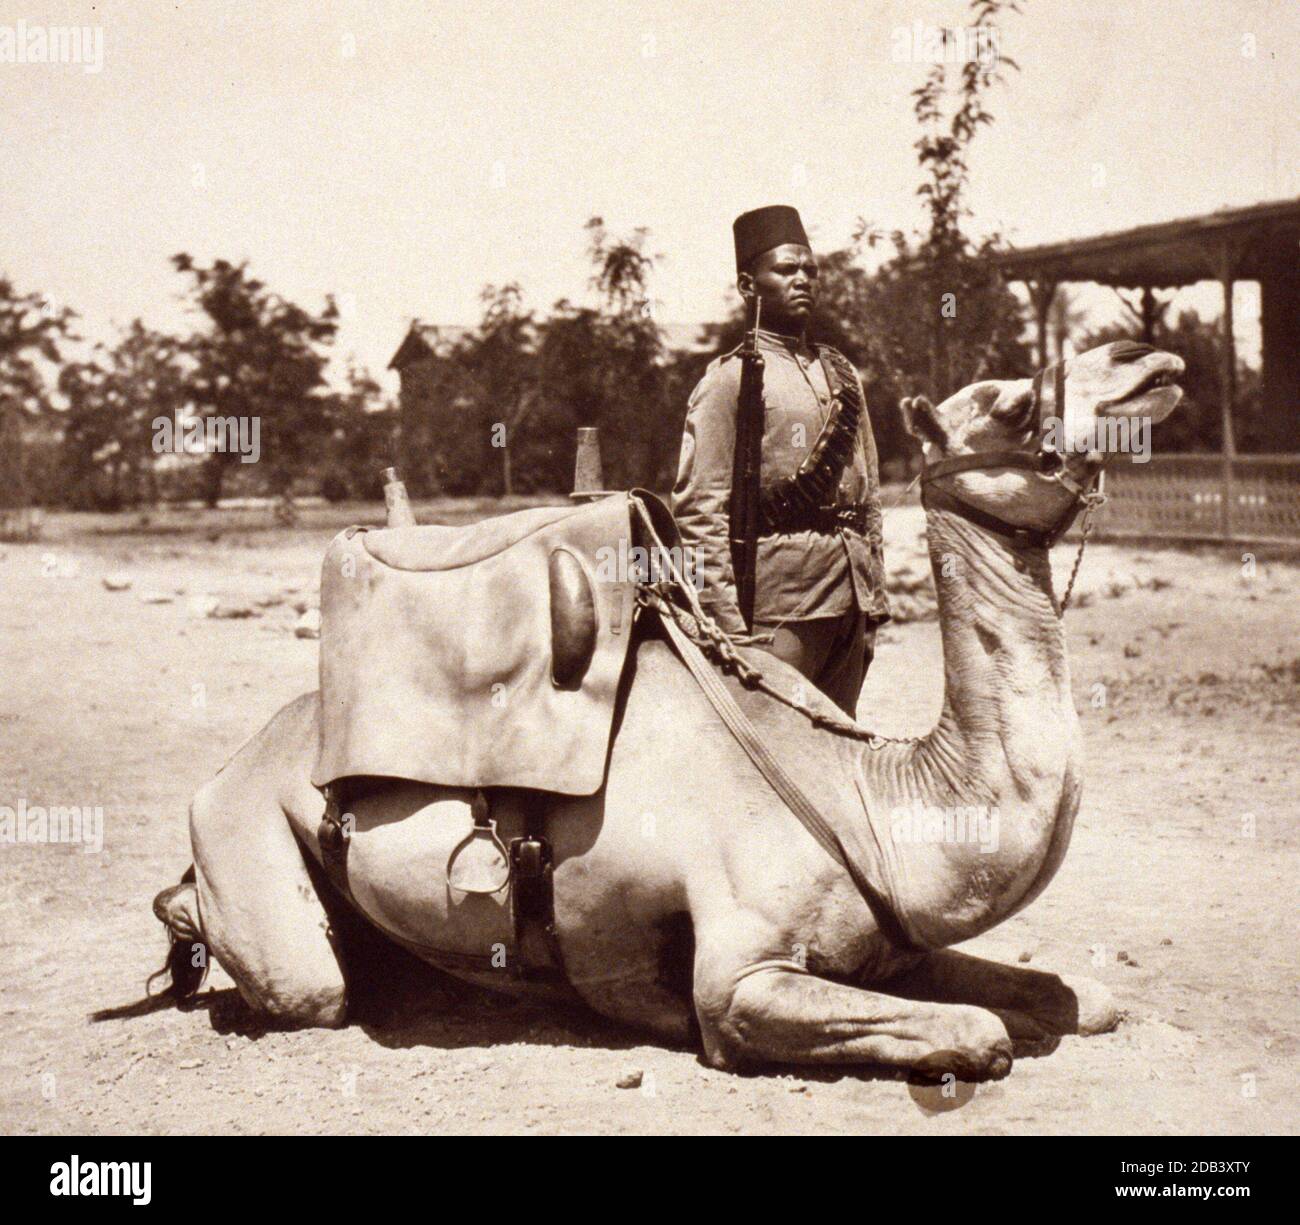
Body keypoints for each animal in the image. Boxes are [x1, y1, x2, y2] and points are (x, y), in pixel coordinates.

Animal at [152, 340, 1180, 1076]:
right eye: (1010, 401)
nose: (1150, 360)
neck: (872, 801)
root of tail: (223, 768)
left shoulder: (900, 951)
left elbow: (1083, 998)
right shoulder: (740, 980)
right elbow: (979, 1032)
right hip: (251, 846)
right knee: (307, 984)